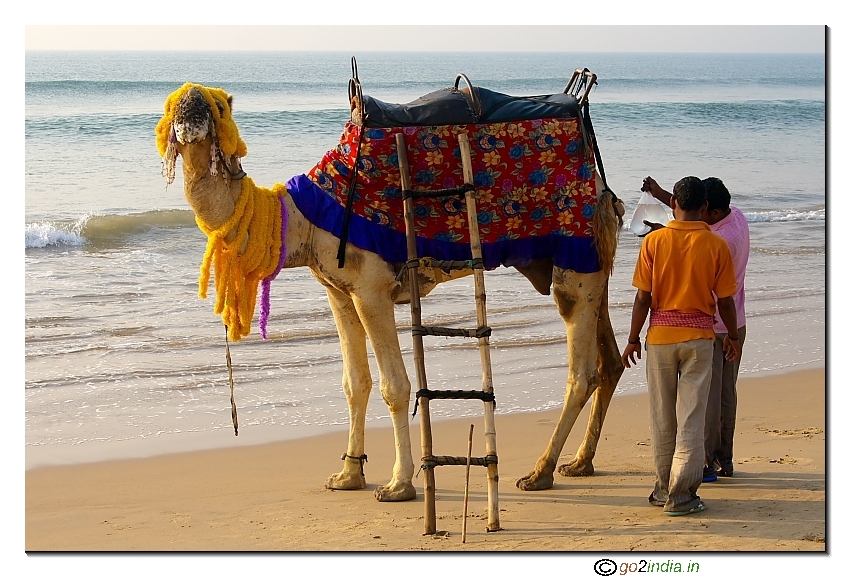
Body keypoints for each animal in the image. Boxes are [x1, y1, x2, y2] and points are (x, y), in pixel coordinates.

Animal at [156, 81, 625, 502]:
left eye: (216, 106)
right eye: (174, 104)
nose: (190, 111)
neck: (305, 218)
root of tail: (603, 186)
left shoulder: (371, 288)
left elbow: (394, 386)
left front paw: (399, 485)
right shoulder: (338, 291)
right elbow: (355, 382)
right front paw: (347, 475)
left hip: (575, 263)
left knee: (581, 370)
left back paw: (539, 472)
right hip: (593, 264)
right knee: (611, 362)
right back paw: (579, 463)